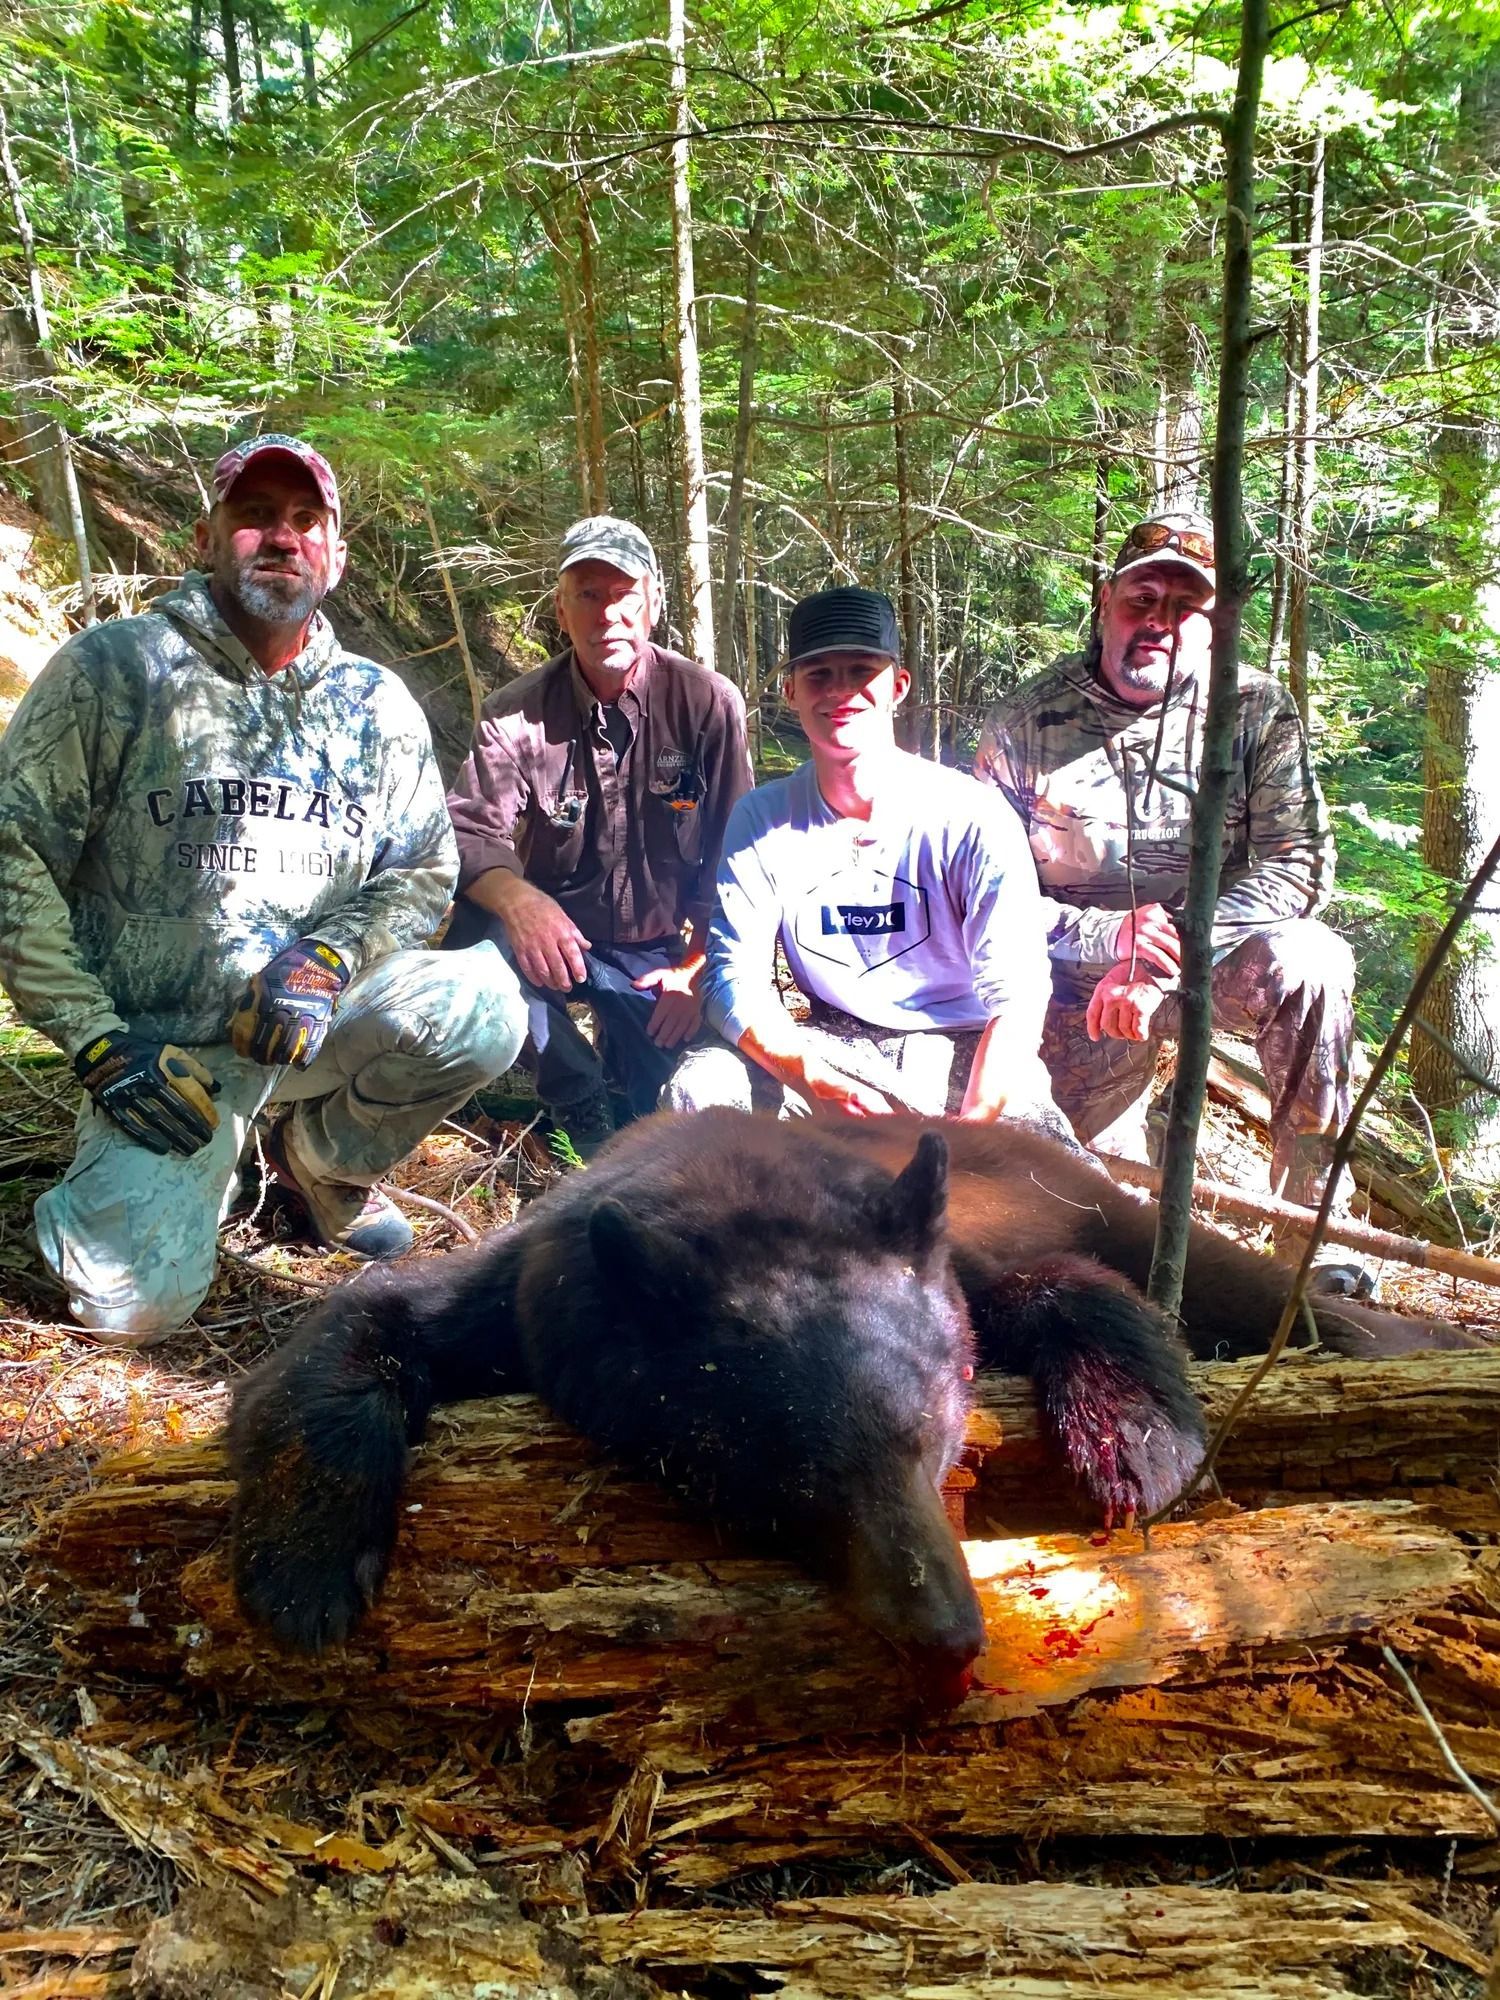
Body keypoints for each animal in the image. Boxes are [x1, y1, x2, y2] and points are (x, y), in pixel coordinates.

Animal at [229, 1109, 1207, 1697]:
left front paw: (1138, 1443)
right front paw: (306, 1570)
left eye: (932, 1438)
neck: (732, 1189)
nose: (948, 1635)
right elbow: (361, 1324)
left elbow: (1063, 1286)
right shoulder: (525, 1296)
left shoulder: (956, 1264)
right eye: (796, 1476)